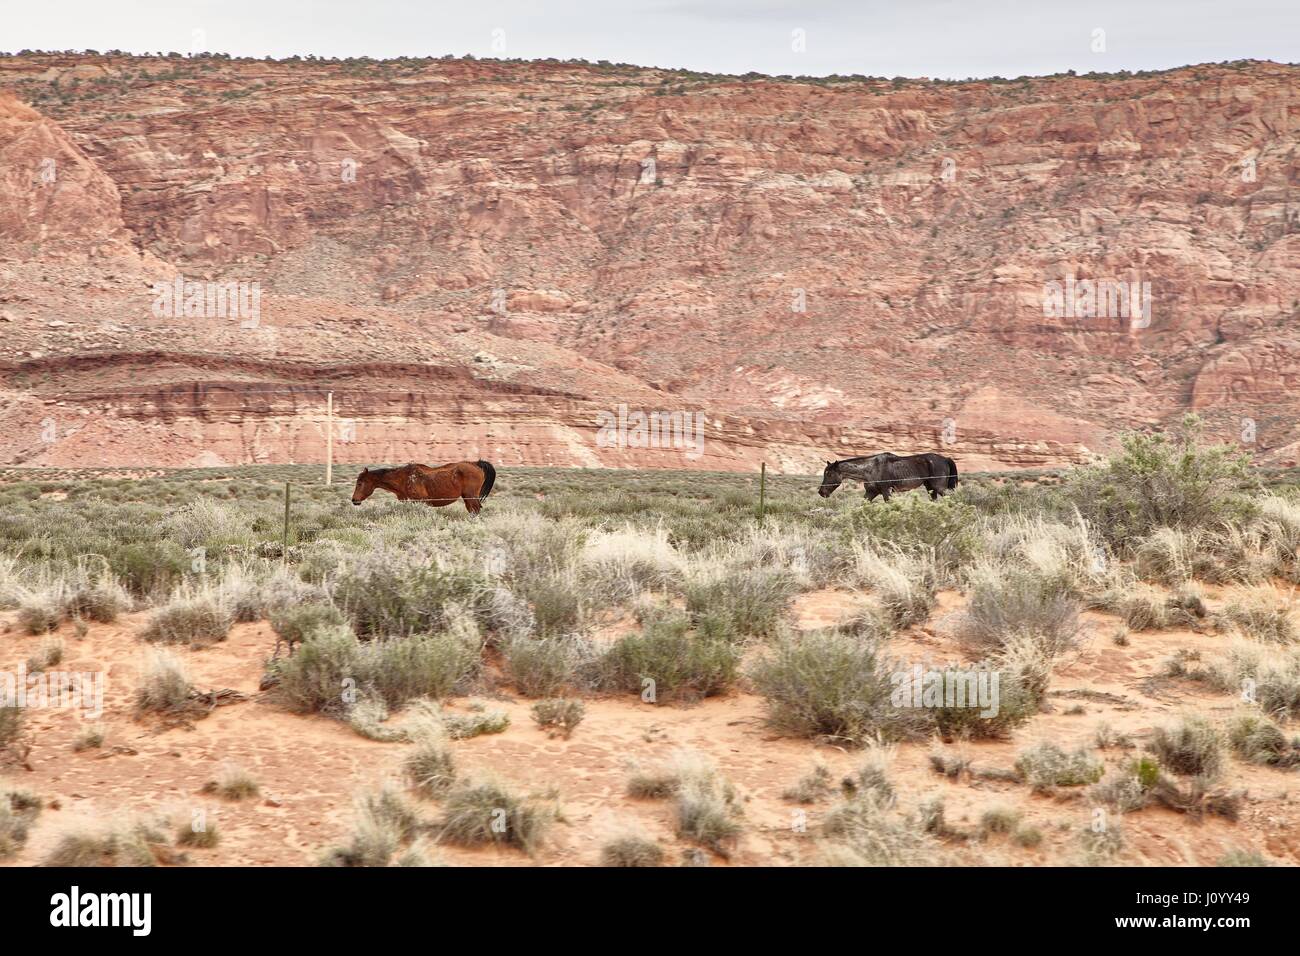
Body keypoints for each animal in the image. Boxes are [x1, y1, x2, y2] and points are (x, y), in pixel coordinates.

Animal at [351, 463, 496, 515]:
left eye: (360, 483)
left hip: (471, 497)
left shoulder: (418, 501)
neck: (404, 477)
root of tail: (476, 465)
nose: (354, 500)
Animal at [816, 455, 961, 502]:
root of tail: (945, 459)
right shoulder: (871, 492)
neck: (871, 468)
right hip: (931, 489)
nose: (821, 492)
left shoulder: (886, 491)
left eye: (829, 474)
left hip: (939, 488)